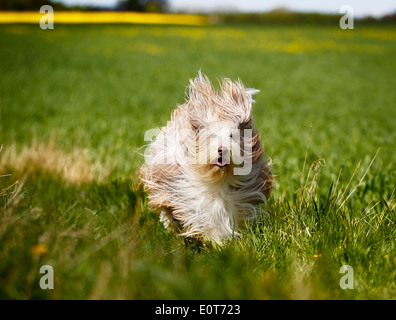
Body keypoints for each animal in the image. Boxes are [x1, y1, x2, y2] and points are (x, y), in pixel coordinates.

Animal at [139, 71, 272, 244]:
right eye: (212, 136)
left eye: (232, 136)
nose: (222, 150)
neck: (217, 177)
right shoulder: (186, 189)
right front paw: (217, 240)